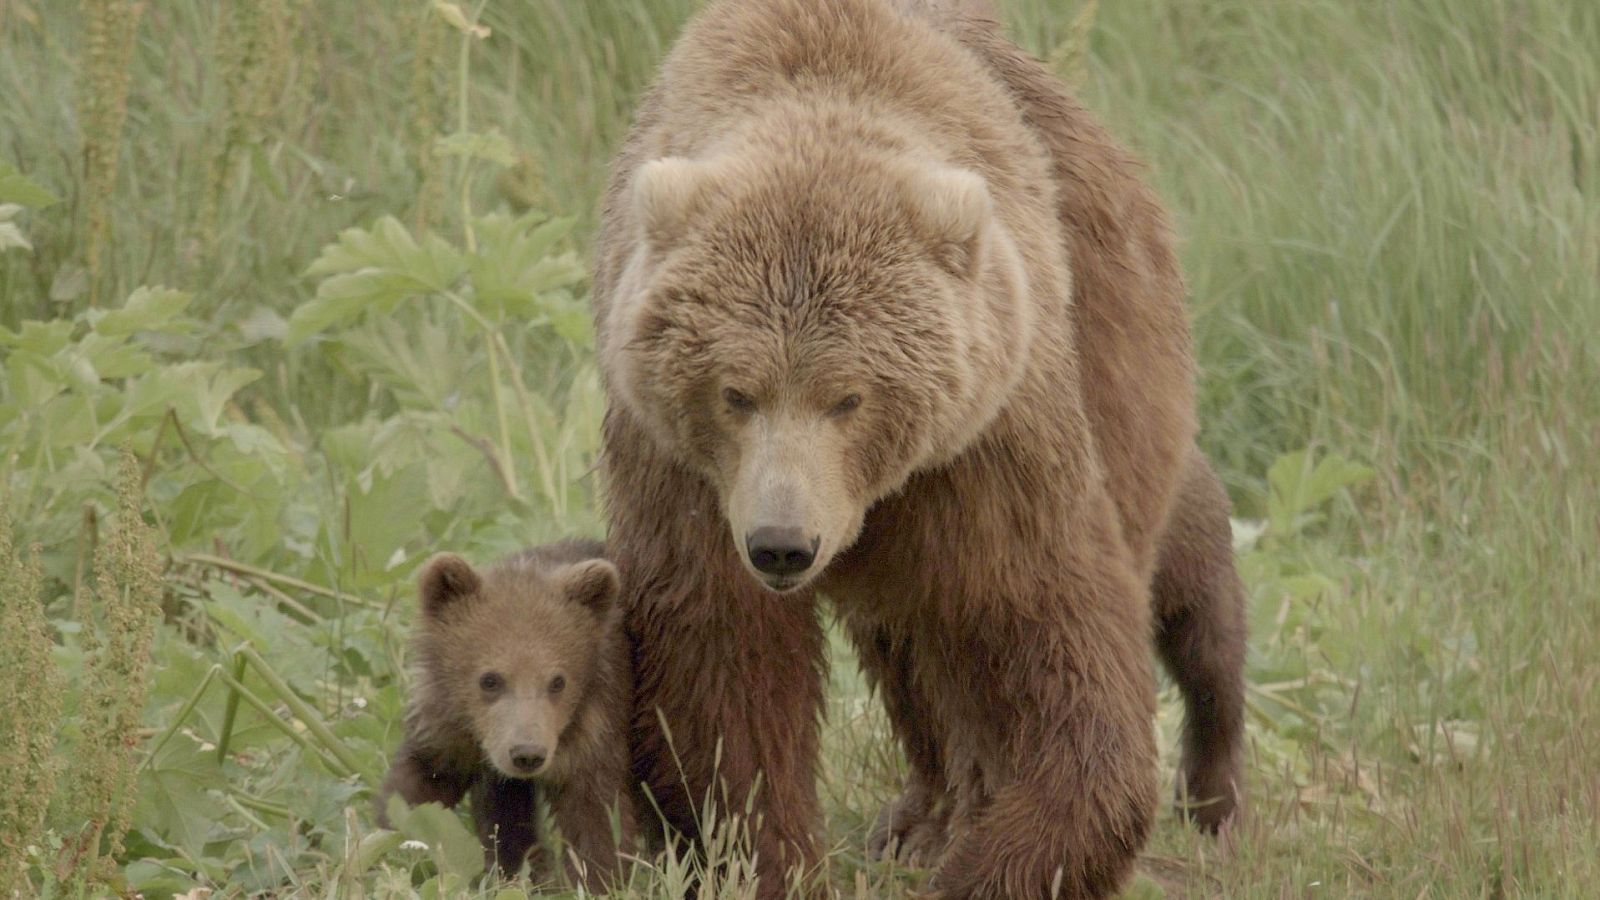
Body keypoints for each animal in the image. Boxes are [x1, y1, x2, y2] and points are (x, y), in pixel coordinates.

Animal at [592, 0, 1248, 890]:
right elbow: (720, 665)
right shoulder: (684, 473)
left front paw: (1001, 861)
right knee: (907, 651)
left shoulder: (989, 441)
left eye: (849, 396)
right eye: (735, 392)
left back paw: (1213, 787)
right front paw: (768, 855)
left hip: (1124, 360)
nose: (782, 545)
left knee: (1186, 573)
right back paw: (921, 815)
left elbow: (1052, 630)